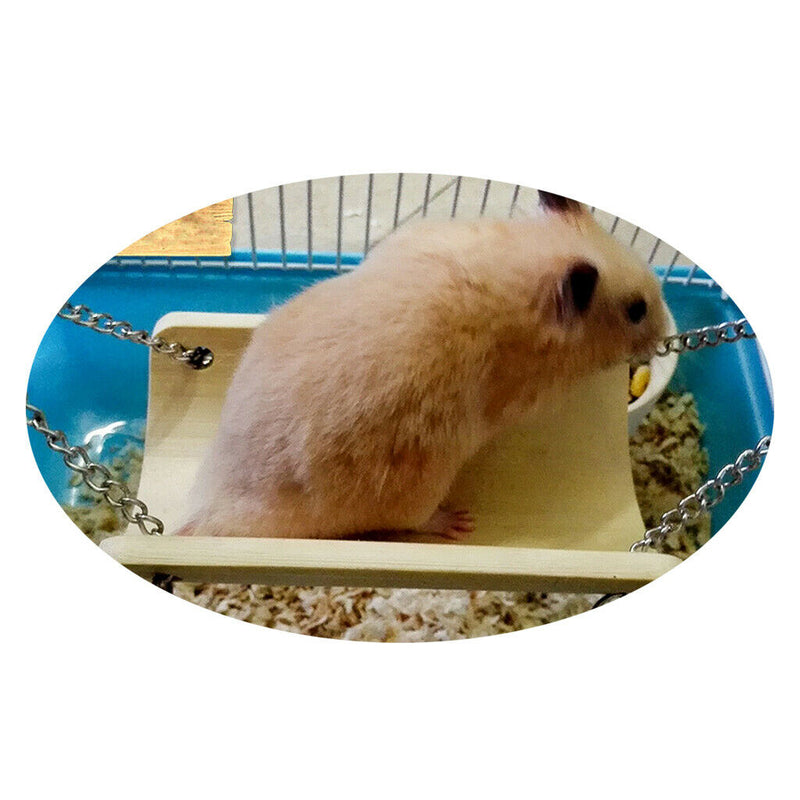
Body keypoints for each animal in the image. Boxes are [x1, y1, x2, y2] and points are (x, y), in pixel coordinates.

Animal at [176, 193, 668, 541]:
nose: (665, 334)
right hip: (415, 484)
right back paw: (458, 522)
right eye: (637, 310)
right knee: (410, 520)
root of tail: (212, 507)